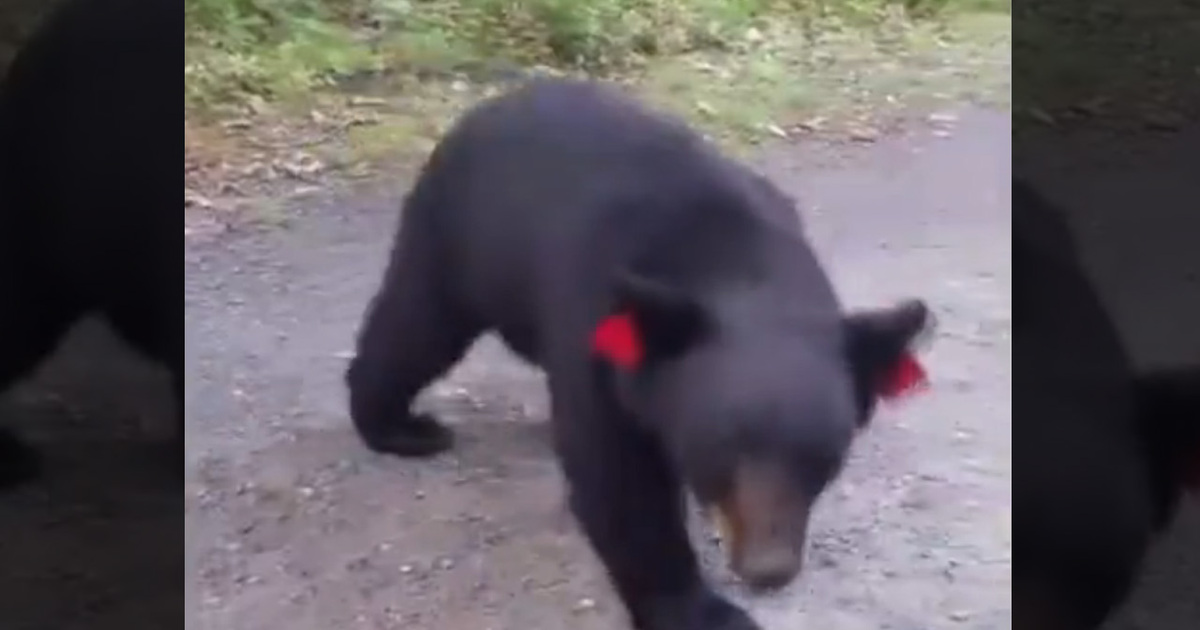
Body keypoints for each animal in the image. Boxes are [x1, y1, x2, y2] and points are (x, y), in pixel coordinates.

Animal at [345, 78, 933, 630]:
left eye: (824, 458)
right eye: (718, 450)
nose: (769, 569)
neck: (737, 262)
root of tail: (490, 103)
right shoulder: (595, 323)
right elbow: (620, 480)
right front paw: (702, 609)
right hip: (460, 236)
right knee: (416, 326)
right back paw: (399, 426)